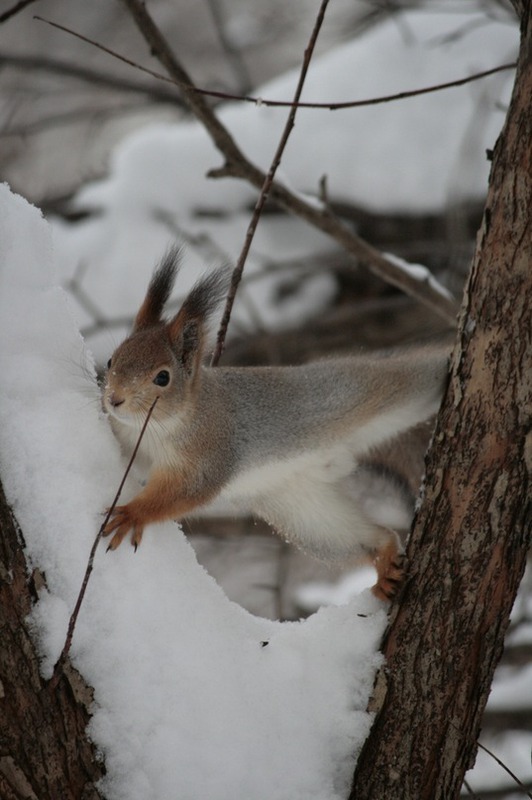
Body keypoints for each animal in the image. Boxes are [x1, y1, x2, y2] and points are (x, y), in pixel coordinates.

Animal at [101, 250, 448, 600]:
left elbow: (183, 491)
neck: (155, 427)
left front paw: (134, 513)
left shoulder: (209, 453)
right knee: (371, 536)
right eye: (111, 359)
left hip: (364, 390)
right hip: (304, 513)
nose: (114, 399)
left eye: (163, 378)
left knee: (418, 376)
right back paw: (385, 560)